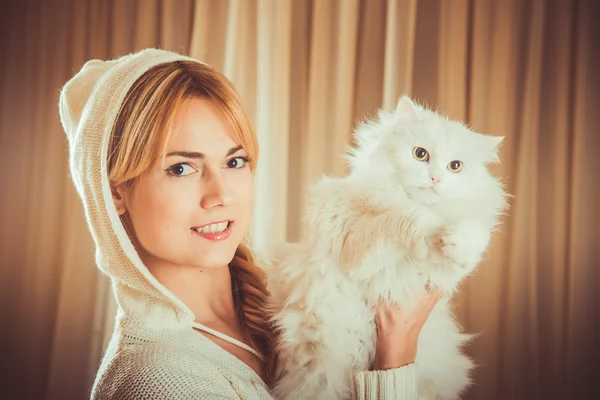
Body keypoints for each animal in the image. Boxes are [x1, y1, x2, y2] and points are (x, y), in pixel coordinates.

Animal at [268, 95, 506, 398]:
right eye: (420, 154)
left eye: (455, 166)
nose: (435, 179)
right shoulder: (355, 245)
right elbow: (404, 218)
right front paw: (428, 229)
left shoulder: (444, 272)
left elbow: (473, 235)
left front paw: (453, 240)